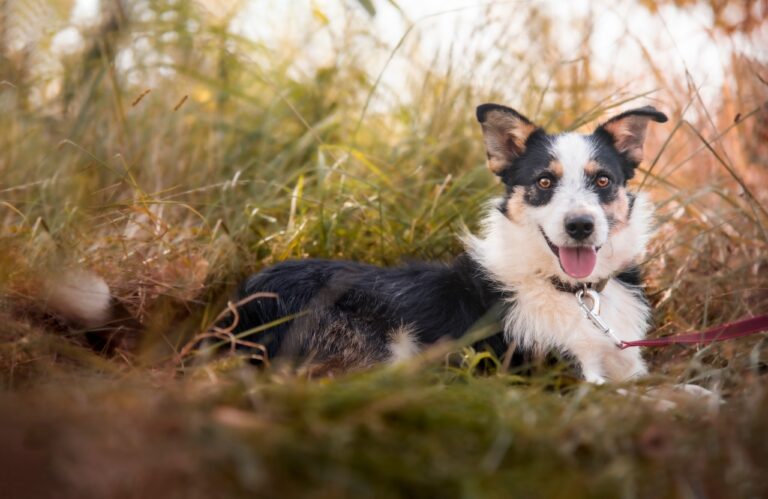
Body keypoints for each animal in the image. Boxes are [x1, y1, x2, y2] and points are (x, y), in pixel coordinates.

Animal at [225, 102, 668, 382]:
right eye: (544, 182)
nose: (580, 226)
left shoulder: (627, 366)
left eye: (603, 180)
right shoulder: (558, 376)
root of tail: (239, 306)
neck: (573, 292)